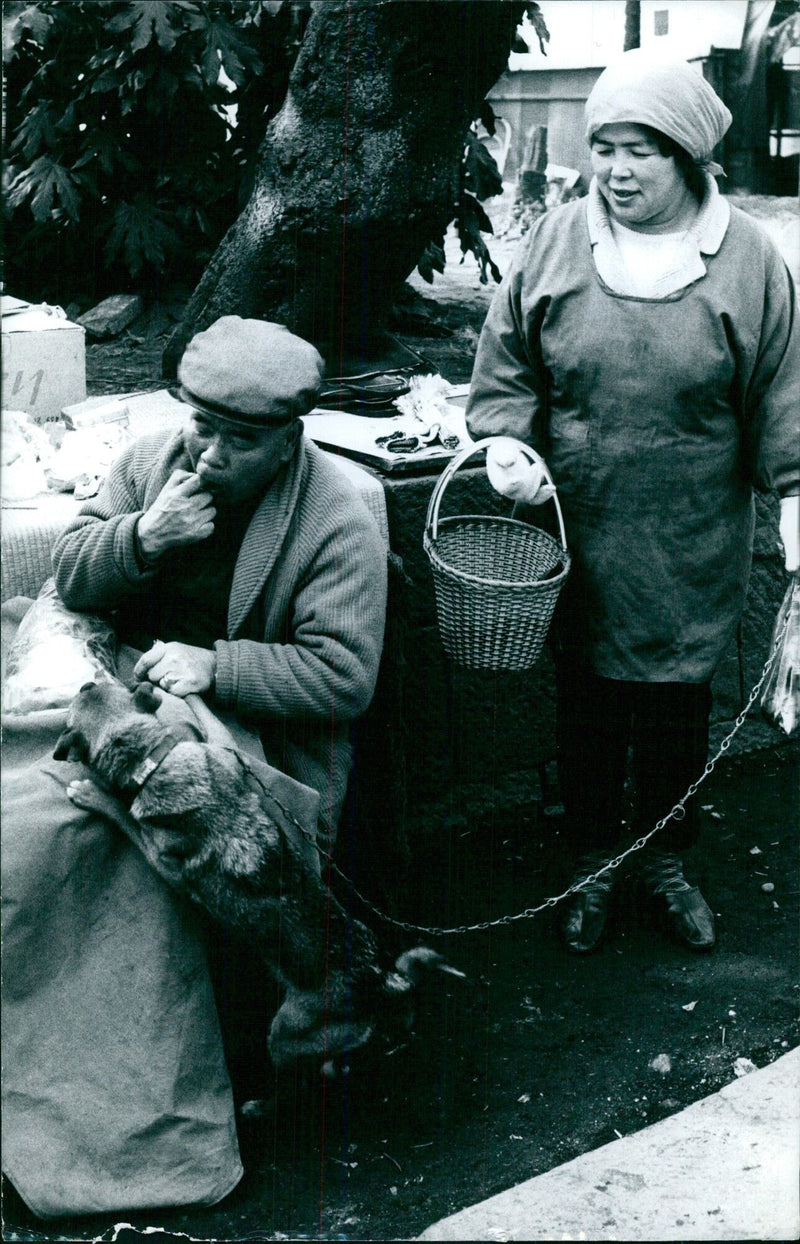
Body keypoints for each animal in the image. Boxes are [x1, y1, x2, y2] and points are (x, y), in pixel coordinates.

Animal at [54, 676, 462, 1074]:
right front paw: (186, 685)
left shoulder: (161, 861)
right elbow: (205, 714)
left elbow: (125, 819)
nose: (85, 683)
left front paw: (93, 795)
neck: (154, 762)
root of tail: (379, 982)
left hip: (284, 1035)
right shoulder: (225, 748)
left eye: (79, 700)